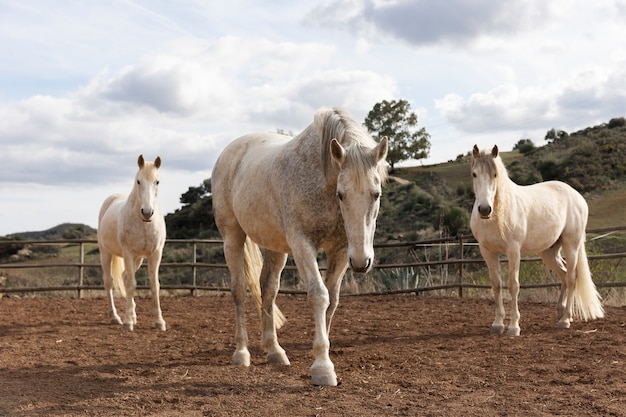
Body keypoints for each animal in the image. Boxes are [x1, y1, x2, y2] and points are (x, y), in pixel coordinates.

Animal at [97, 154, 166, 330]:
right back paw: (115, 317)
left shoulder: (155, 254)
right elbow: (131, 285)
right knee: (109, 282)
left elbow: (154, 286)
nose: (147, 212)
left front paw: (159, 321)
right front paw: (128, 322)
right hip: (106, 253)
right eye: (138, 181)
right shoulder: (128, 253)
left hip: (138, 259)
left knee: (125, 276)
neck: (144, 224)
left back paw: (133, 315)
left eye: (157, 181)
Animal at [211, 105, 386, 386]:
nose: (361, 262)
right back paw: (242, 352)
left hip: (275, 247)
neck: (320, 178)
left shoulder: (340, 251)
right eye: (341, 194)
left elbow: (332, 300)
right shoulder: (303, 245)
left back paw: (274, 351)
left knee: (268, 289)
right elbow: (319, 295)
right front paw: (323, 367)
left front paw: (323, 353)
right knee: (238, 290)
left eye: (376, 194)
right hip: (232, 237)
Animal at [470, 145, 604, 336]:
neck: (497, 215)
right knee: (563, 274)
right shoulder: (487, 252)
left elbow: (513, 285)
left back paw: (565, 320)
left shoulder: (513, 251)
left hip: (571, 245)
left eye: (495, 174)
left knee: (572, 277)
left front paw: (514, 327)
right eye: (474, 174)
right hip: (548, 252)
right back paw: (561, 312)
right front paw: (497, 324)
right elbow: (496, 285)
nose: (484, 209)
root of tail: (577, 196)